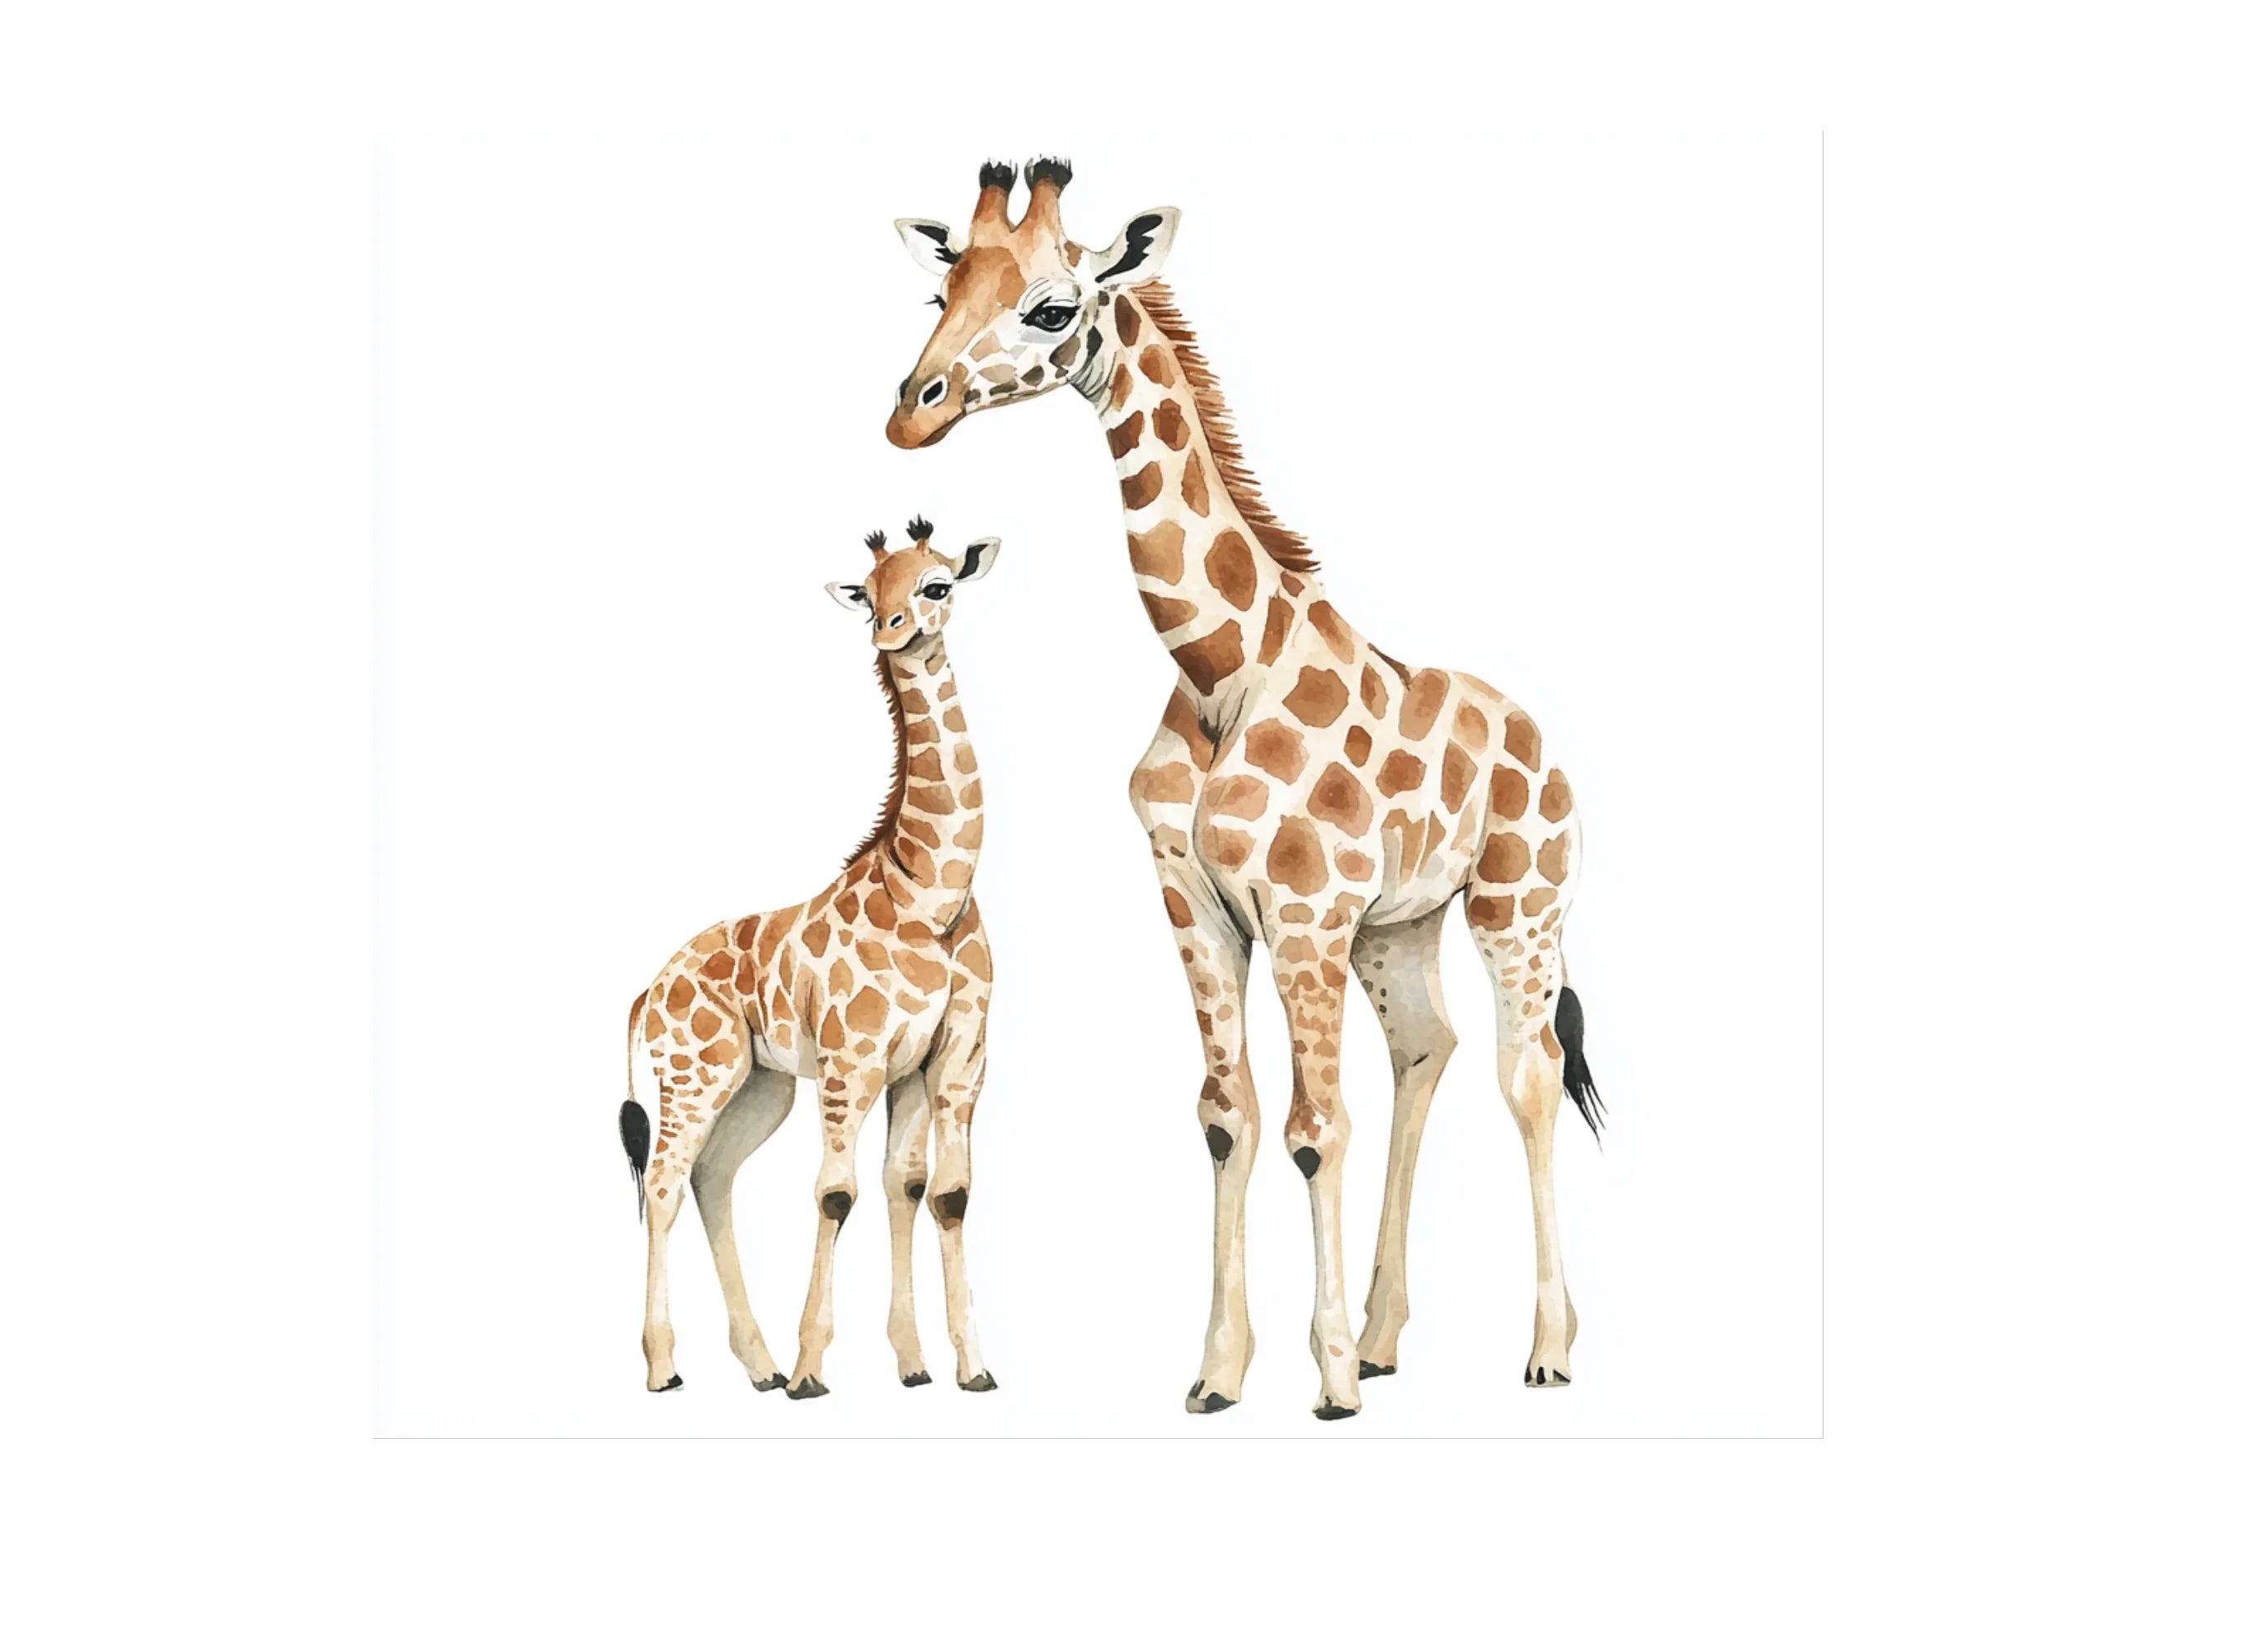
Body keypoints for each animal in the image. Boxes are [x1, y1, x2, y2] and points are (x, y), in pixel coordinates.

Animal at [617, 519, 1001, 1400]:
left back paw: (756, 1367)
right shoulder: (852, 1062)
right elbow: (835, 1195)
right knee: (662, 1185)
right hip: (695, 1077)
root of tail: (645, 994)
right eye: (870, 591)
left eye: (936, 584)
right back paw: (667, 1369)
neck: (932, 893)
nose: (890, 631)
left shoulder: (948, 1060)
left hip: (759, 1088)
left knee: (711, 1179)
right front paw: (813, 1370)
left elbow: (933, 1191)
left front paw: (947, 1365)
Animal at [883, 160, 1605, 1419]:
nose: (910, 412)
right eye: (942, 288)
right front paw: (1222, 1372)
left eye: (1052, 306)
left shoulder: (1305, 913)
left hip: (1519, 904)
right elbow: (1230, 1118)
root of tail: (1542, 740)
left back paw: (1545, 1349)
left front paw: (1327, 1384)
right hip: (1398, 927)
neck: (1219, 667)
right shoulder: (1200, 907)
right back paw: (1385, 1334)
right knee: (1425, 1050)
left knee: (1528, 1076)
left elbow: (1316, 1127)